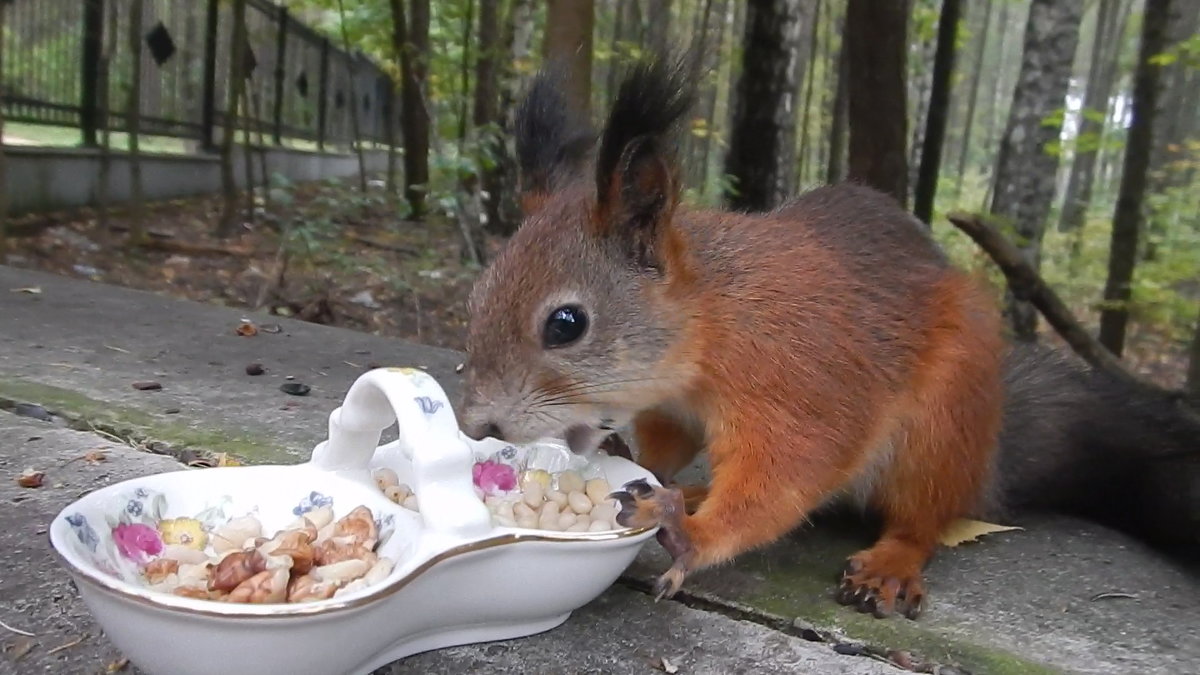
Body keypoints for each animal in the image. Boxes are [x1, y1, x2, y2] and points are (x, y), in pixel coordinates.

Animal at [456, 56, 1200, 614]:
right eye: (478, 293)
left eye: (566, 324)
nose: (480, 425)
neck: (711, 327)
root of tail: (987, 459)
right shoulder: (674, 406)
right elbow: (670, 448)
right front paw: (641, 464)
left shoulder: (801, 383)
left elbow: (787, 476)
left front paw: (691, 531)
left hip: (941, 424)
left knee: (924, 517)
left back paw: (890, 561)